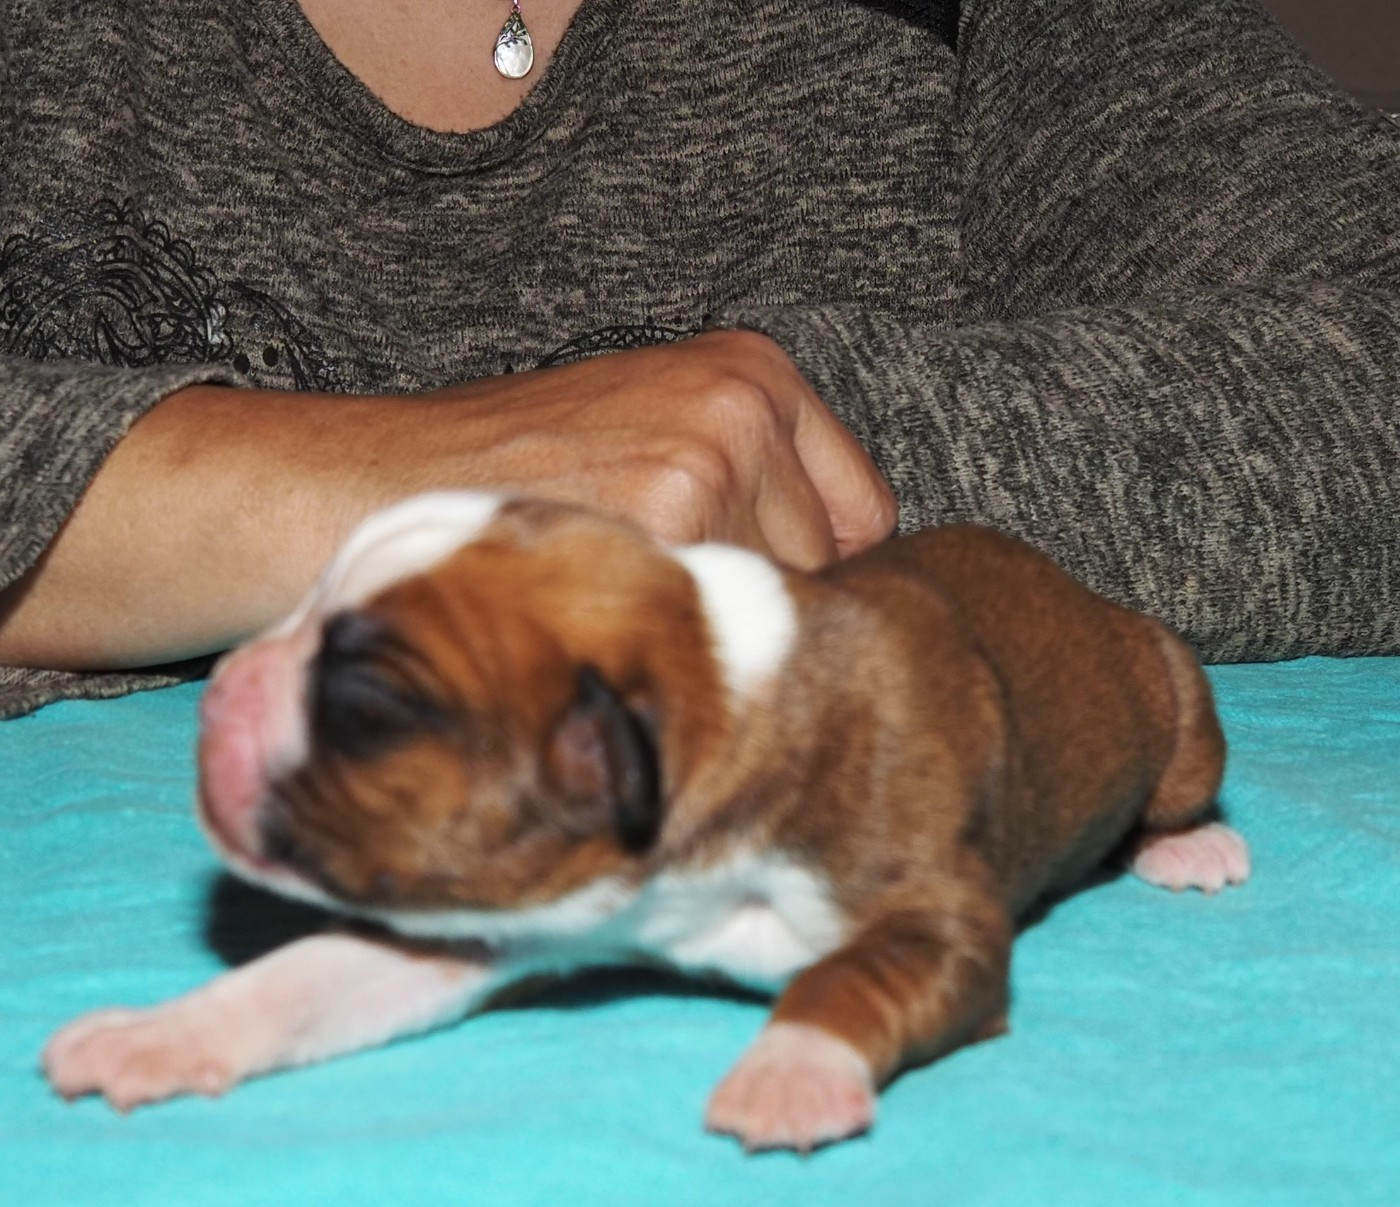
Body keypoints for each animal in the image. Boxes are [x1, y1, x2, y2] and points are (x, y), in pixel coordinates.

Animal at [43, 492, 1249, 1152]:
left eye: (369, 704)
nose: (218, 691)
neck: (728, 684)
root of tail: (1085, 590)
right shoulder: (498, 911)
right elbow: (302, 978)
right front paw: (157, 1032)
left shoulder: (933, 916)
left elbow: (849, 975)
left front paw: (788, 1068)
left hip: (1171, 693)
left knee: (1176, 779)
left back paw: (1189, 842)